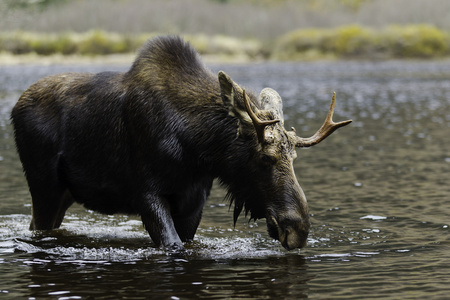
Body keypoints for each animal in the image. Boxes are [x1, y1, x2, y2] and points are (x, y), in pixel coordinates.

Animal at [8, 35, 350, 251]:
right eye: (265, 157)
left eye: (293, 156)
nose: (298, 229)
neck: (197, 149)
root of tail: (14, 108)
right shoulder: (147, 192)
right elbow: (171, 244)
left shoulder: (193, 200)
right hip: (44, 185)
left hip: (65, 193)